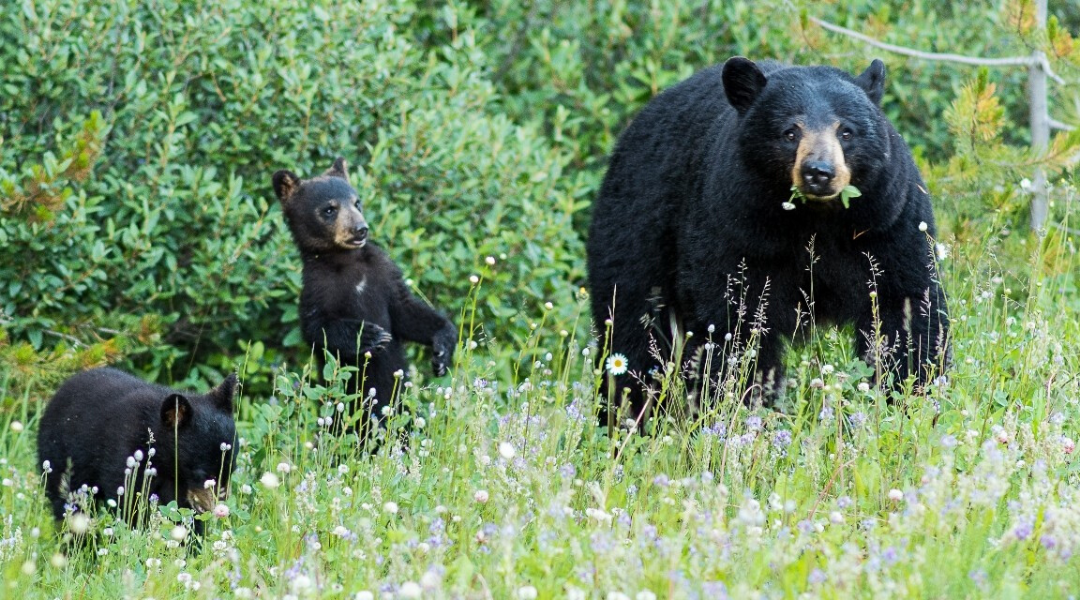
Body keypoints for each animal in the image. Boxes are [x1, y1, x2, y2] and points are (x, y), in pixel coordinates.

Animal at [37, 367, 237, 534]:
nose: (220, 509)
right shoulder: (125, 455)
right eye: (202, 473)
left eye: (231, 471)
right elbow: (127, 503)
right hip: (61, 460)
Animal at [273, 158, 457, 435]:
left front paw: (443, 348)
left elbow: (406, 311)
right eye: (329, 209)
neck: (347, 261)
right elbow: (316, 327)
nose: (360, 229)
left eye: (356, 202)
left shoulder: (383, 273)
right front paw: (368, 334)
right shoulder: (317, 287)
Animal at [587, 57, 949, 422]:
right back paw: (625, 416)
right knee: (632, 327)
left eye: (846, 131)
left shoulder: (887, 223)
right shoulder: (735, 230)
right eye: (790, 132)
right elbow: (735, 318)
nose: (819, 172)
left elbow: (903, 306)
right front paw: (743, 404)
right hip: (635, 229)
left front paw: (912, 397)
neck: (815, 219)